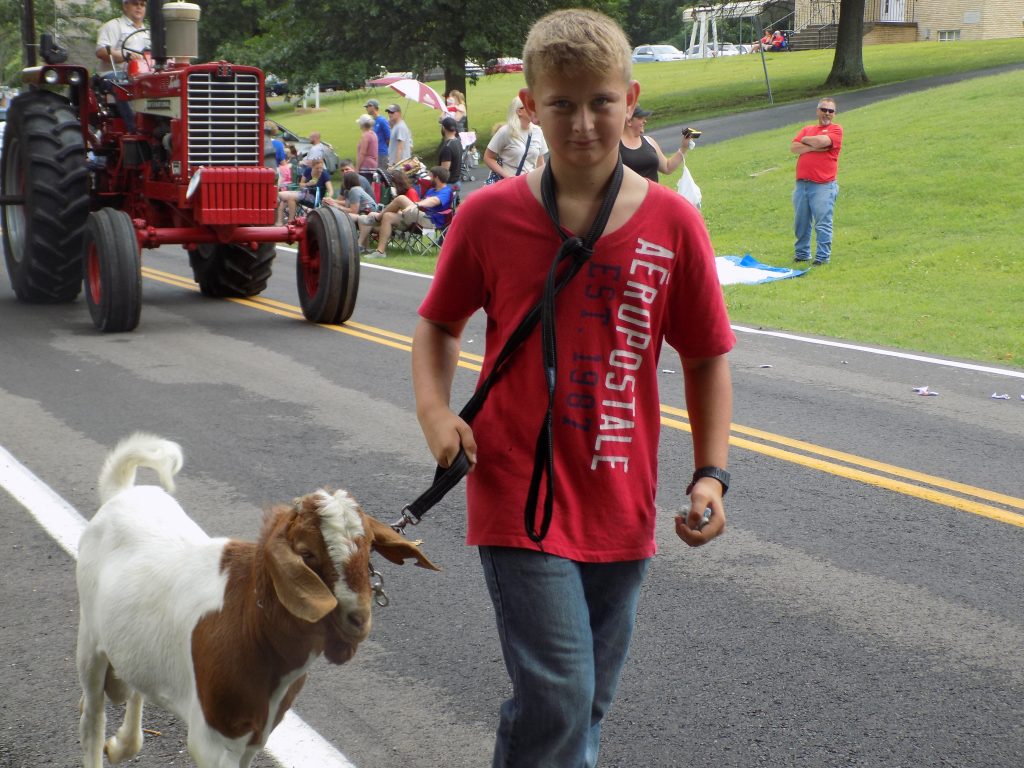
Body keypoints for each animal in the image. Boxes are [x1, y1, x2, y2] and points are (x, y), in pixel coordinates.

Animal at [74, 434, 436, 768]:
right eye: (306, 554)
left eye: (370, 548)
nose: (358, 619)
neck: (251, 624)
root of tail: (121, 493)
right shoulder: (213, 739)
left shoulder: (257, 733)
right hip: (89, 640)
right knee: (92, 717)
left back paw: (123, 743)